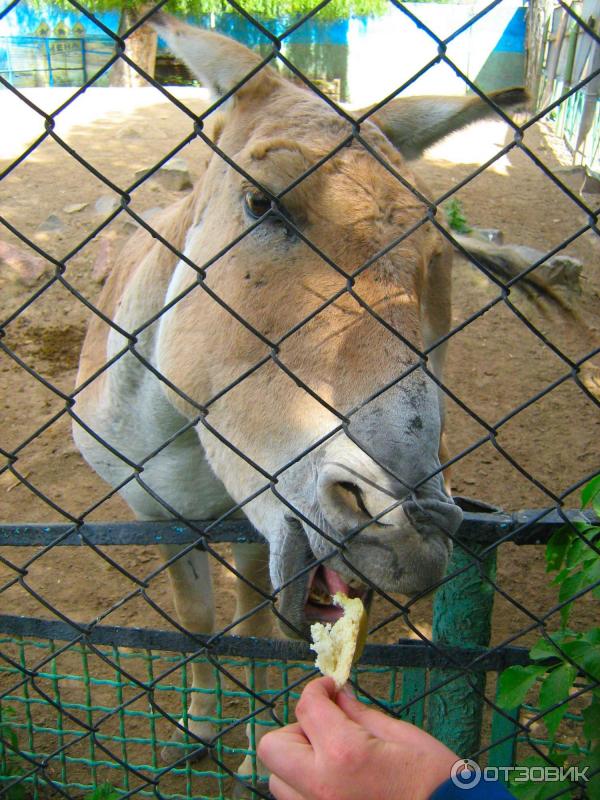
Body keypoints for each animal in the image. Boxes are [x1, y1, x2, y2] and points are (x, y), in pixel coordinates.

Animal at [72, 10, 528, 788]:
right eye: (263, 201)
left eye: (436, 255)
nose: (410, 529)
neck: (180, 438)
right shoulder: (154, 513)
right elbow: (197, 619)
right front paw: (197, 728)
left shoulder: (249, 522)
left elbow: (253, 624)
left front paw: (255, 743)